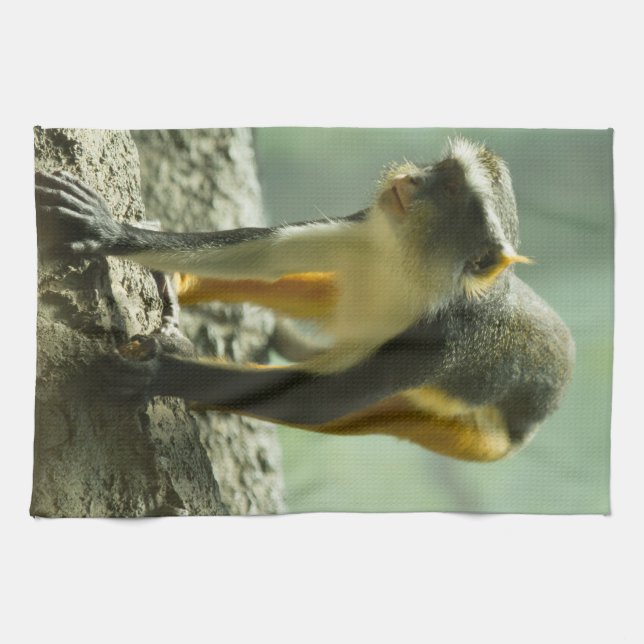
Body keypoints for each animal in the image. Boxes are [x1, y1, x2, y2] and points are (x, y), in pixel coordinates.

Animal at [35, 138, 575, 462]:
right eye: (444, 170)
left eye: (450, 187)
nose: (412, 179)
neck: (413, 267)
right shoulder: (370, 226)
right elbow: (269, 251)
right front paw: (111, 233)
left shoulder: (441, 340)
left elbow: (316, 401)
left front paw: (156, 374)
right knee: (313, 288)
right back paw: (183, 283)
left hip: (479, 436)